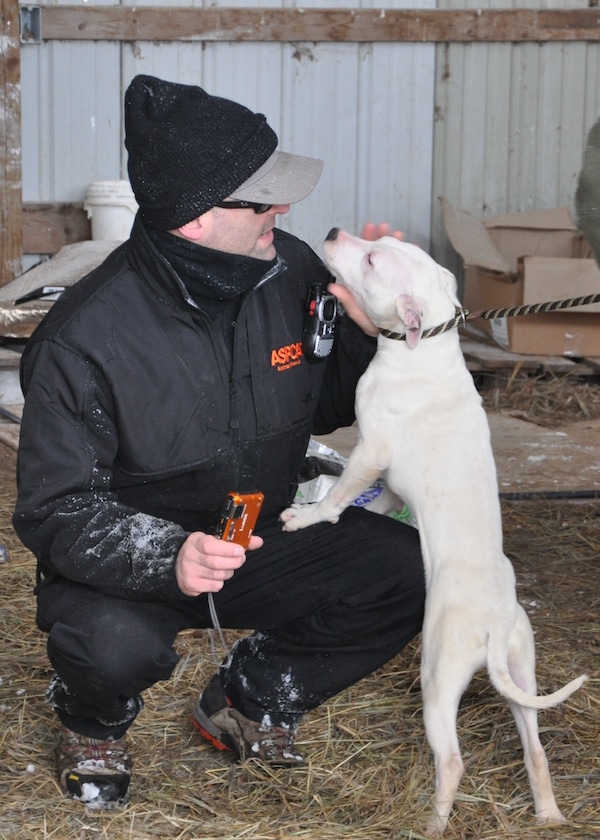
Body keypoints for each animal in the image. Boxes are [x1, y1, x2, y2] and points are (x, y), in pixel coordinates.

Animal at [282, 228, 584, 832]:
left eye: (373, 258)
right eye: (382, 242)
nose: (332, 233)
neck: (424, 347)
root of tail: (494, 624)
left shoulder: (369, 451)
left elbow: (342, 494)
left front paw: (306, 517)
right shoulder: (390, 481)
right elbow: (375, 502)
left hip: (439, 679)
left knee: (452, 760)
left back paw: (433, 823)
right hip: (521, 672)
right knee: (535, 748)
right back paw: (547, 815)